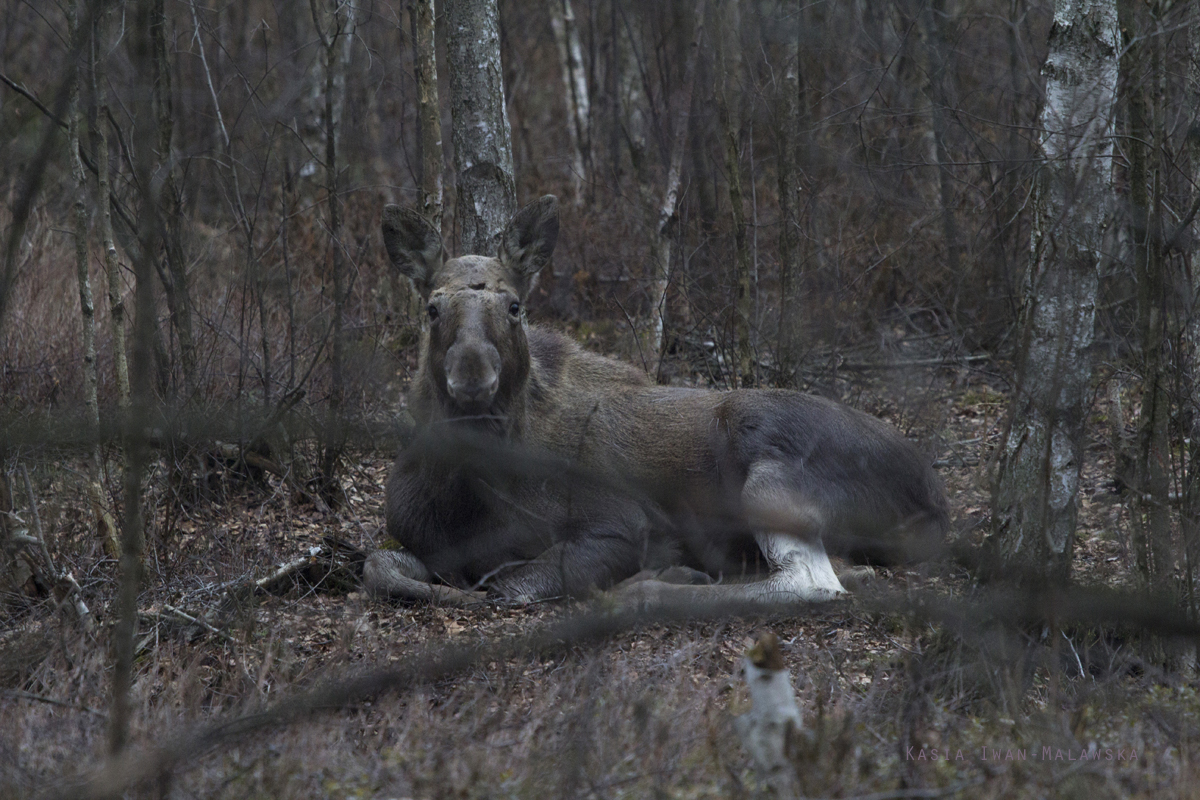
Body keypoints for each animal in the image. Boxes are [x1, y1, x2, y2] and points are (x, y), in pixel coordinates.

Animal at [364, 195, 945, 606]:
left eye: (514, 306)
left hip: (764, 459)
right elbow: (379, 567)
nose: (471, 376)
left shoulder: (620, 522)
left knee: (809, 582)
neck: (462, 492)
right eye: (433, 308)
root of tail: (933, 496)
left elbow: (513, 584)